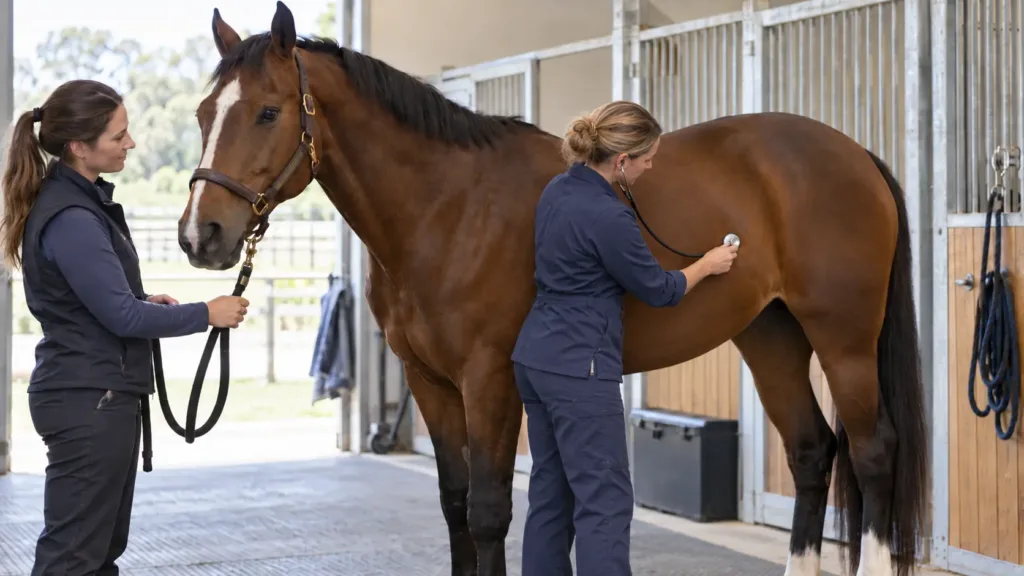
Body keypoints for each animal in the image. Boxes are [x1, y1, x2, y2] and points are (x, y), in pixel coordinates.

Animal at [176, 3, 929, 575]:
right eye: (204, 112)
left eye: (268, 112)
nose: (199, 235)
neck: (447, 207)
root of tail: (855, 155)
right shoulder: (431, 383)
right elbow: (455, 505)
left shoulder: (490, 380)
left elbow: (489, 510)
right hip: (770, 333)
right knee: (811, 451)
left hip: (843, 338)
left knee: (872, 452)